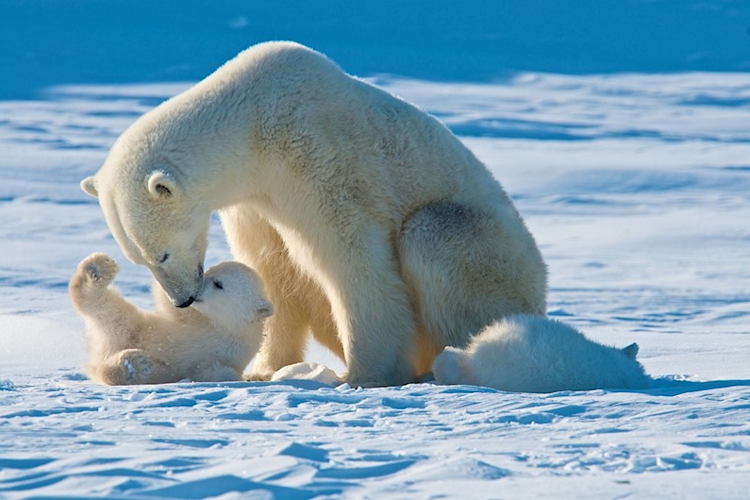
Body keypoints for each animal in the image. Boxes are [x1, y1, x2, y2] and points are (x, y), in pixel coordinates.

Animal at [69, 252, 273, 385]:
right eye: (210, 271)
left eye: (218, 284)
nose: (195, 288)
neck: (227, 327)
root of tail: (102, 351)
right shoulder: (195, 319)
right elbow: (171, 307)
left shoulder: (231, 351)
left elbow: (212, 370)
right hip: (132, 325)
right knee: (101, 305)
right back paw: (98, 269)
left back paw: (134, 366)